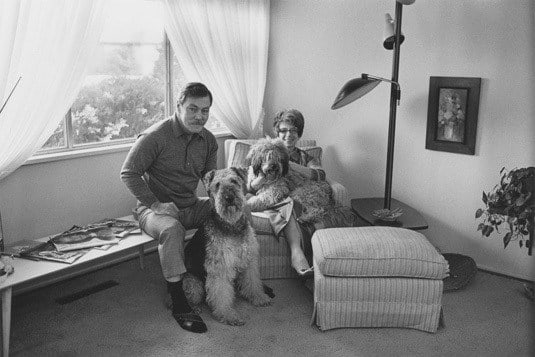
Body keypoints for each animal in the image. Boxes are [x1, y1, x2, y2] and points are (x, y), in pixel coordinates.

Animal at [182, 167, 272, 326]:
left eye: (234, 181)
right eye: (217, 185)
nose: (229, 198)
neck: (232, 224)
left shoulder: (249, 261)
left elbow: (253, 283)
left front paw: (259, 297)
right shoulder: (220, 268)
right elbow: (221, 294)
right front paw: (228, 315)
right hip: (194, 284)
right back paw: (194, 309)